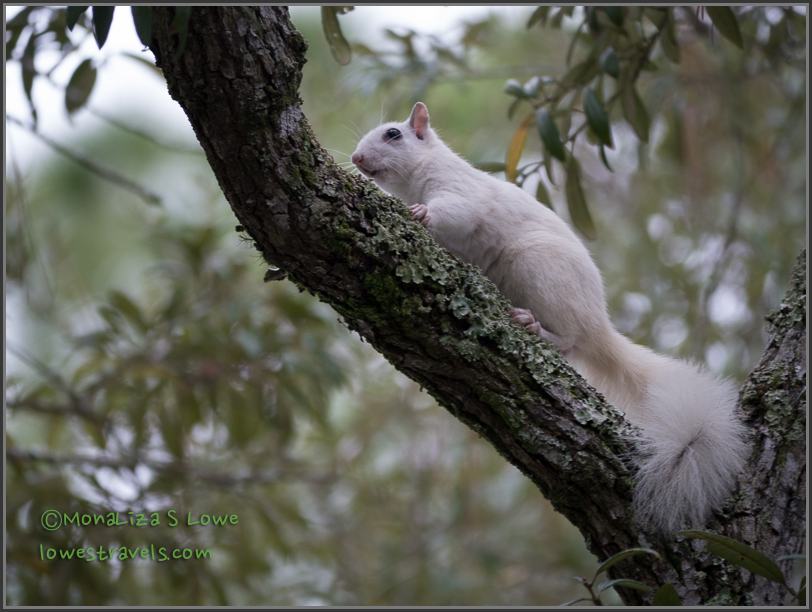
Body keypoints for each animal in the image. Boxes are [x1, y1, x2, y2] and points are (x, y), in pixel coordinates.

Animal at [351, 101, 749, 533]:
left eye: (393, 134)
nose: (355, 159)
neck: (415, 177)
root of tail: (598, 325)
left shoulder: (462, 192)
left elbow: (457, 211)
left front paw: (421, 212)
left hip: (538, 268)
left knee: (570, 340)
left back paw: (533, 326)